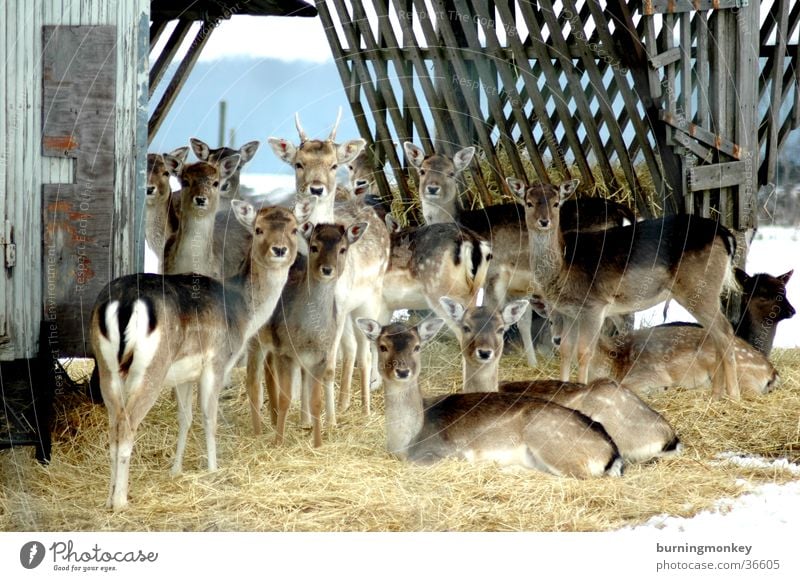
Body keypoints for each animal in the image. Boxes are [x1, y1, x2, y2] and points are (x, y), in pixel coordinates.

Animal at [90, 203, 304, 508]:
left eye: (295, 228)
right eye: (258, 229)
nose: (279, 249)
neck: (242, 312)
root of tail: (126, 303)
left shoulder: (183, 374)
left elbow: (185, 418)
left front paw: (176, 470)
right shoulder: (218, 363)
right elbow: (208, 417)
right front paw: (213, 469)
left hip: (106, 367)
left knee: (113, 427)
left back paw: (109, 498)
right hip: (151, 368)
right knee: (126, 425)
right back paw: (121, 501)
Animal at [356, 318, 624, 476]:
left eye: (417, 346)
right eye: (382, 346)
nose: (402, 371)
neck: (405, 441)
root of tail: (613, 452)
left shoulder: (445, 452)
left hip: (551, 441)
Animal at [510, 179, 740, 402]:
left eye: (556, 203)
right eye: (529, 203)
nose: (544, 221)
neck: (563, 266)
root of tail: (726, 235)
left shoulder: (593, 306)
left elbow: (584, 352)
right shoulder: (567, 312)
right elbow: (566, 350)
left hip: (699, 289)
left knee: (725, 331)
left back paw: (733, 396)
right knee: (716, 333)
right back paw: (716, 395)